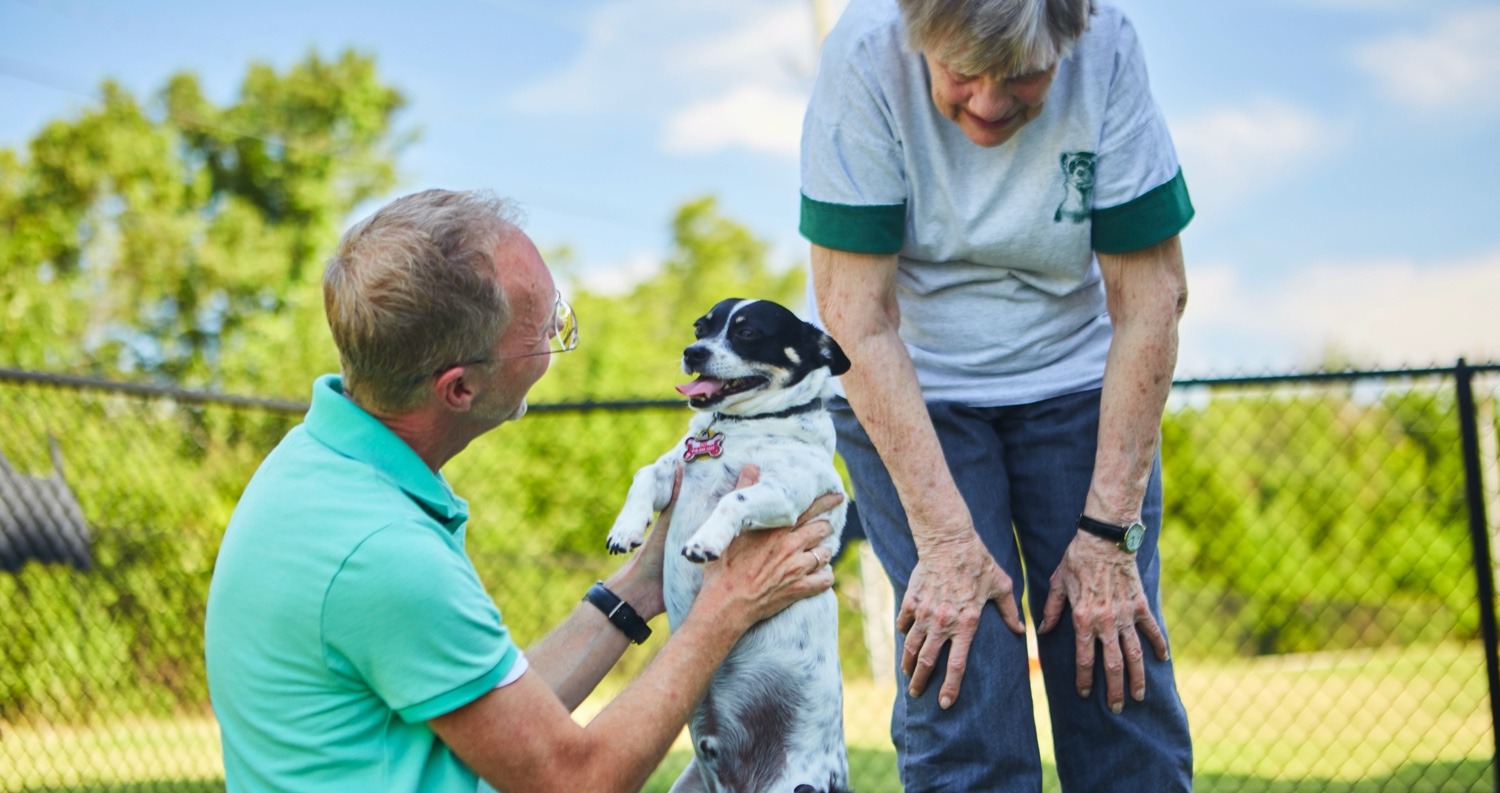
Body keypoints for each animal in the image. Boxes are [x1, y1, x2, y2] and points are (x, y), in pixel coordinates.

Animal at [603, 296, 852, 791]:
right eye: (701, 327)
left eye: (747, 332)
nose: (692, 352)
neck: (744, 427)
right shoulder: (672, 471)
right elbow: (645, 474)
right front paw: (627, 528)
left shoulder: (785, 494)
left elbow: (733, 497)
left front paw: (706, 539)